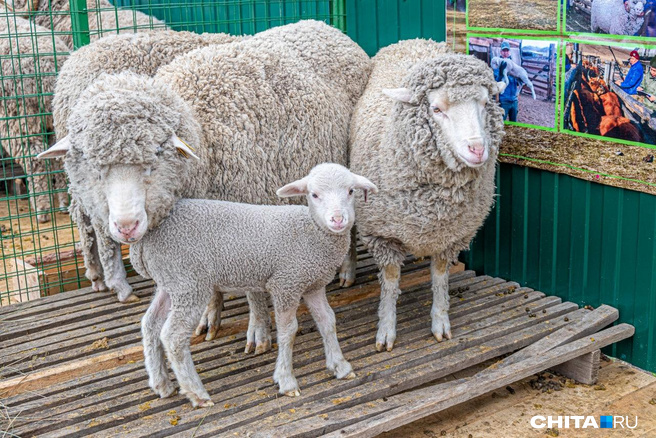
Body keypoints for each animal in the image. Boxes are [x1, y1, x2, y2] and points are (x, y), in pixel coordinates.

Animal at [0, 17, 69, 222]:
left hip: (18, 118)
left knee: (35, 160)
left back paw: (42, 208)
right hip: (52, 120)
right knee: (56, 156)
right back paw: (63, 202)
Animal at [38, 21, 372, 350]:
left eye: (153, 160)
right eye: (95, 168)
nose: (127, 226)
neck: (203, 139)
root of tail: (325, 26)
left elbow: (253, 290)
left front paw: (258, 331)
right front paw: (210, 317)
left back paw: (346, 270)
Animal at [131, 164, 376, 408]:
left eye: (351, 191)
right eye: (314, 195)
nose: (338, 219)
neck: (312, 232)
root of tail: (146, 237)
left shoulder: (312, 285)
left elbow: (327, 321)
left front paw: (340, 366)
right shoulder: (286, 283)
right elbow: (288, 330)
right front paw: (286, 380)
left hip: (171, 282)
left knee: (150, 324)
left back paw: (161, 384)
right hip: (189, 284)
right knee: (173, 337)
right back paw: (197, 393)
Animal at [348, 38, 508, 352]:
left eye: (486, 104)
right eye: (436, 109)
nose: (477, 149)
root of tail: (415, 40)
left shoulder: (451, 236)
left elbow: (440, 276)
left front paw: (440, 322)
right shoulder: (382, 235)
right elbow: (390, 282)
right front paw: (386, 330)